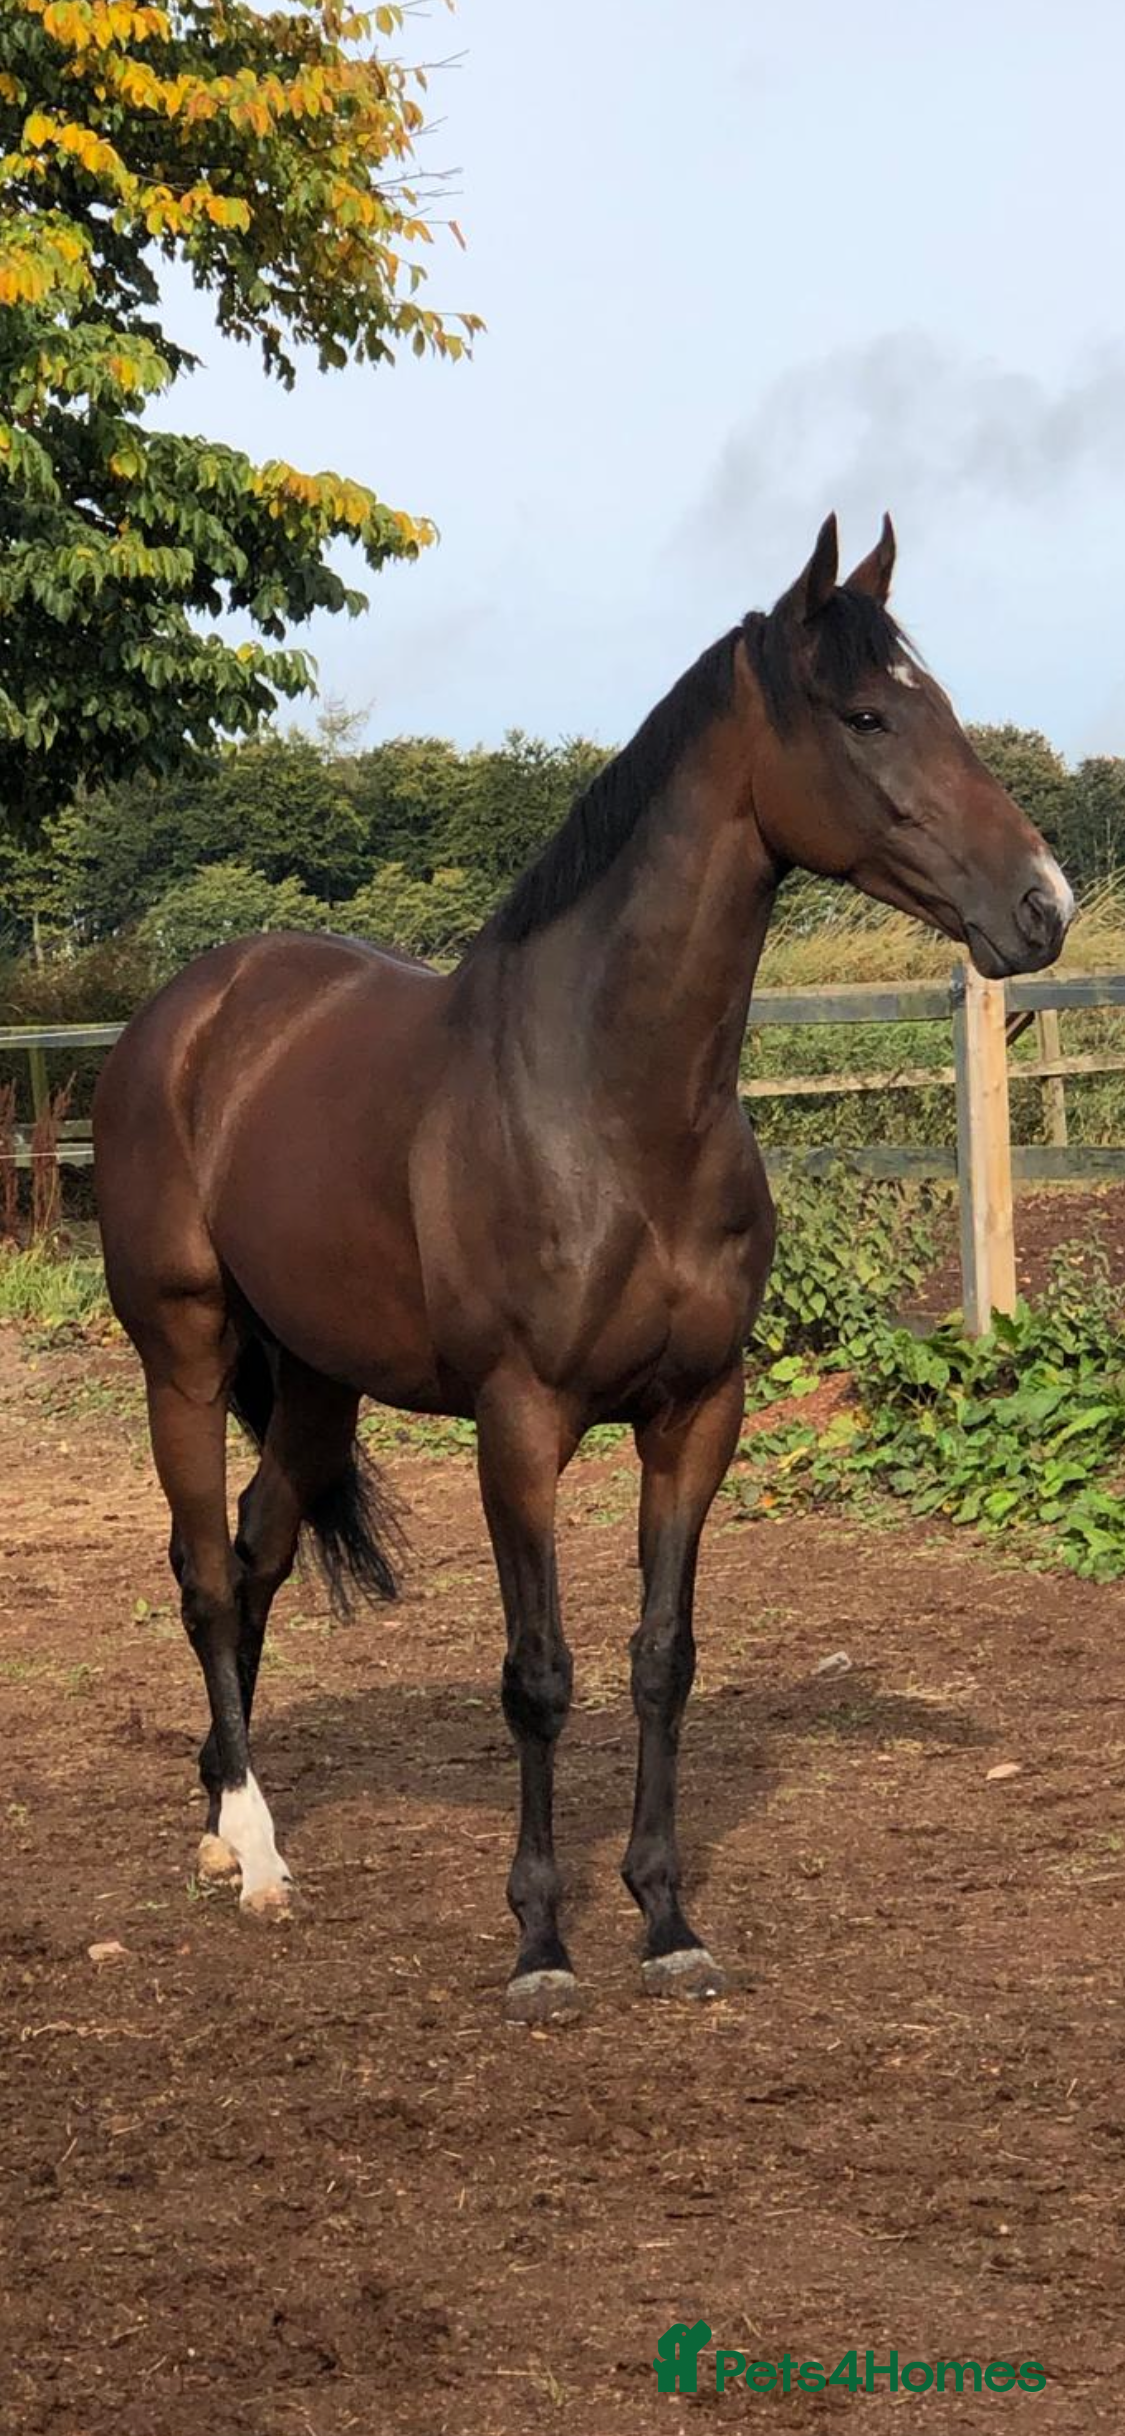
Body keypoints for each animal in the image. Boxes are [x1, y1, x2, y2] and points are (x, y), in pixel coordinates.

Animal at [93, 513, 1073, 2022]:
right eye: (865, 716)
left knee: (257, 1555)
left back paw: (218, 1816)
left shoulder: (696, 1414)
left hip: (316, 1382)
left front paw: (664, 1921)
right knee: (203, 1568)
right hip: (185, 1352)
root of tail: (186, 1014)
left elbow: (661, 1660)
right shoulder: (520, 1423)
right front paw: (542, 1947)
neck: (605, 1103)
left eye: (946, 705)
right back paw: (255, 1854)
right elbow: (539, 1677)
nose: (1043, 906)